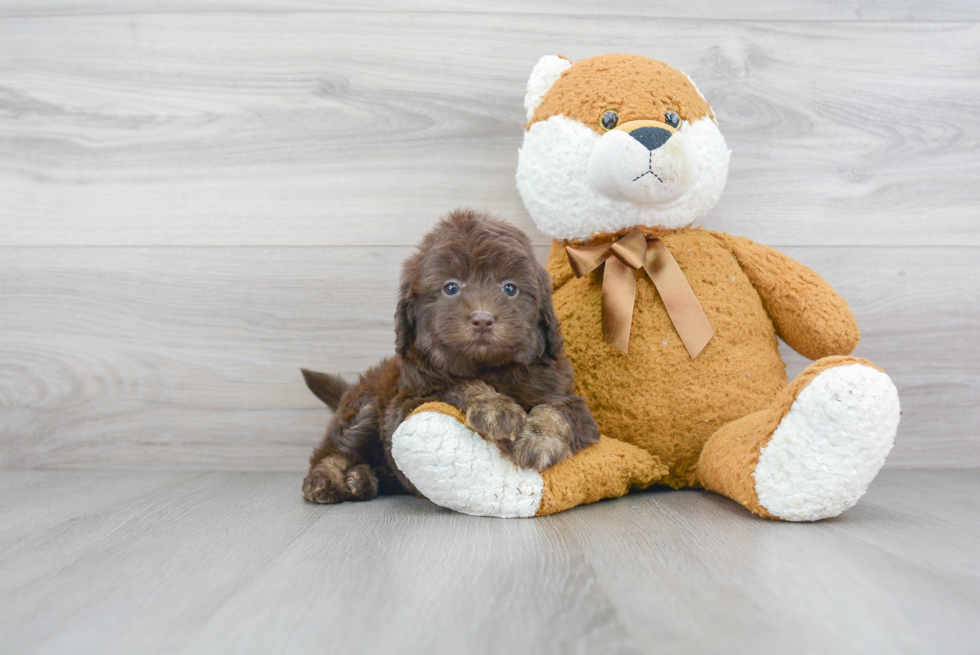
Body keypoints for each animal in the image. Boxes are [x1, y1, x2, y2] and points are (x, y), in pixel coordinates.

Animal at [302, 208, 600, 504]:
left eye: (510, 288)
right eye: (451, 288)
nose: (483, 319)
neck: (489, 367)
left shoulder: (571, 399)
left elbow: (557, 411)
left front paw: (539, 439)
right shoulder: (408, 404)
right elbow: (459, 384)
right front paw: (495, 408)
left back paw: (361, 479)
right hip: (364, 408)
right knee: (333, 451)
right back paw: (324, 480)